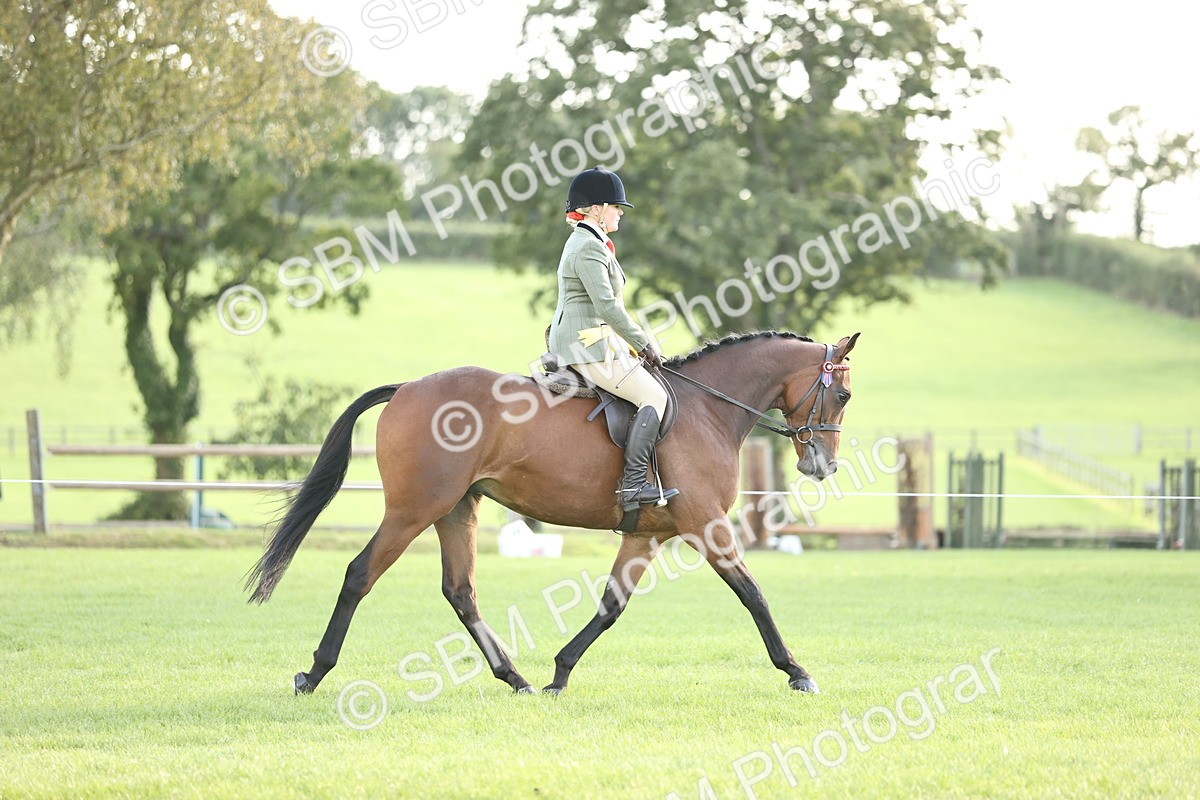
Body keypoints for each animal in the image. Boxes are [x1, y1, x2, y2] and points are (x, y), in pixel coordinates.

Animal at [246, 329, 859, 696]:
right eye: (844, 396)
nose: (823, 466)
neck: (708, 409)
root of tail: (405, 390)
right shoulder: (705, 525)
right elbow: (753, 593)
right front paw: (798, 672)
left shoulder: (647, 535)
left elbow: (612, 605)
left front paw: (560, 673)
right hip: (413, 509)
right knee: (360, 574)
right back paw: (314, 673)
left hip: (456, 510)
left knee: (460, 591)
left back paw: (514, 677)